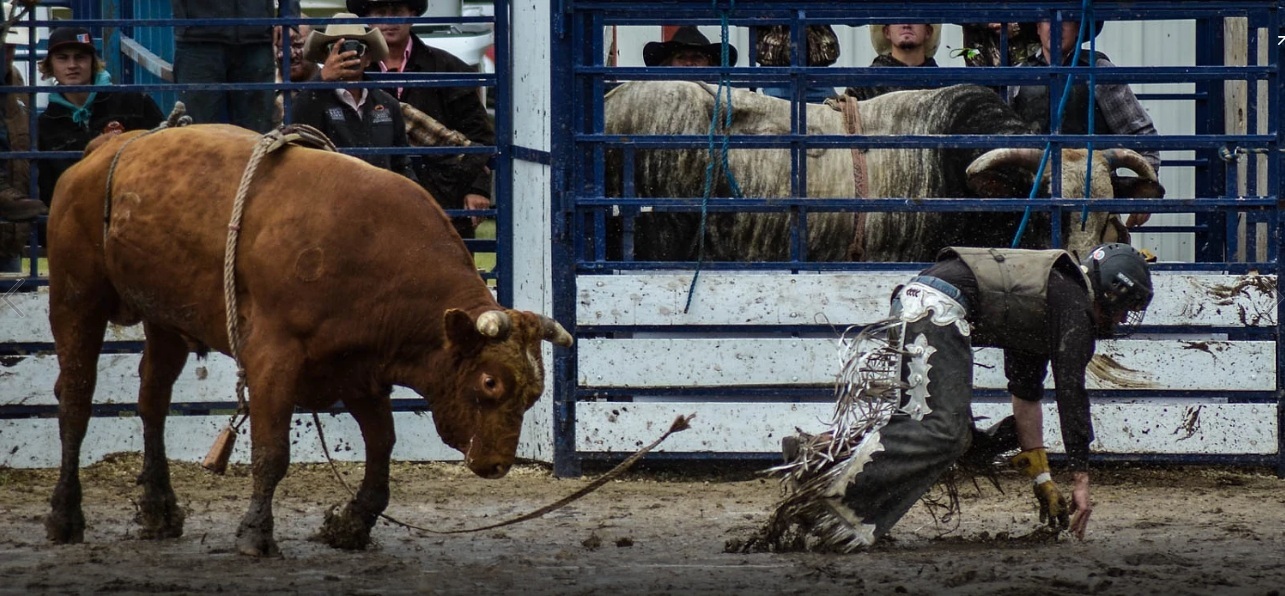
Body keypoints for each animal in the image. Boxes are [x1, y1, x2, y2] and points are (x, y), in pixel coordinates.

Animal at [44, 123, 573, 557]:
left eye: (534, 393)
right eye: (489, 382)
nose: (497, 464)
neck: (372, 254)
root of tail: (103, 149)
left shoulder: (358, 370)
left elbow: (382, 443)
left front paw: (351, 524)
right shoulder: (272, 357)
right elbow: (272, 451)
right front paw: (255, 533)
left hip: (165, 319)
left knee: (152, 400)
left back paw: (158, 509)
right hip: (76, 296)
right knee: (75, 400)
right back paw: (65, 515)